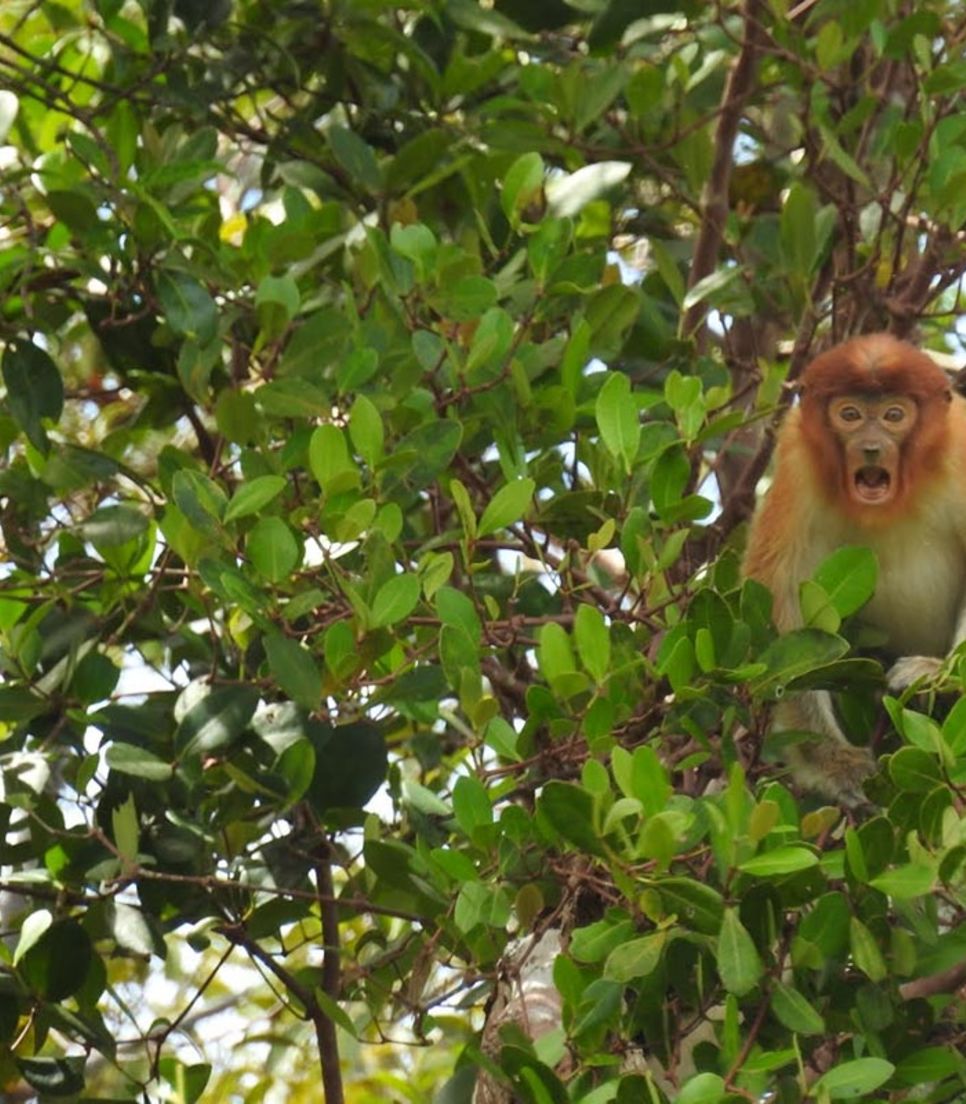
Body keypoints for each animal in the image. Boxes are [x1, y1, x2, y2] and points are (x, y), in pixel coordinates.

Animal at [746, 331, 962, 808]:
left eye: (894, 415)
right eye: (850, 415)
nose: (871, 447)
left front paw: (937, 675)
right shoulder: (798, 460)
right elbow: (781, 596)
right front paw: (834, 762)